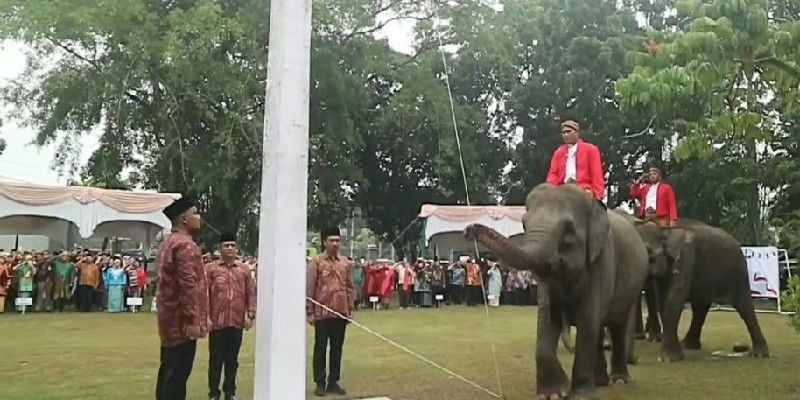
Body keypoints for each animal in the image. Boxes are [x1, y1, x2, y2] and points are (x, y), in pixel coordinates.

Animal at [462, 185, 648, 400]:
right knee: (600, 327)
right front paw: (553, 394)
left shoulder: (601, 261)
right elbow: (547, 319)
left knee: (616, 324)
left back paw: (619, 380)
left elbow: (587, 320)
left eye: (568, 228)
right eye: (524, 223)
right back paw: (600, 382)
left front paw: (580, 396)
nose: (468, 230)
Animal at [620, 216, 764, 362]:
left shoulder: (685, 258)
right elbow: (662, 301)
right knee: (700, 307)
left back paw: (758, 354)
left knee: (744, 307)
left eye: (649, 254)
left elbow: (674, 298)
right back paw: (688, 345)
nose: (635, 360)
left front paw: (668, 359)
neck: (665, 230)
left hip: (738, 272)